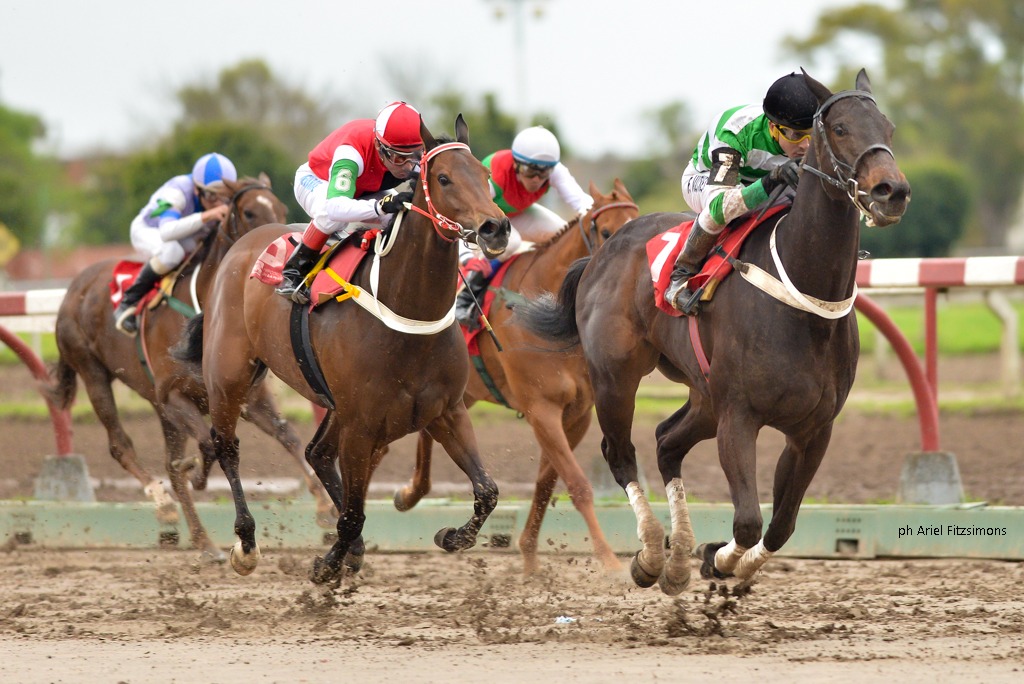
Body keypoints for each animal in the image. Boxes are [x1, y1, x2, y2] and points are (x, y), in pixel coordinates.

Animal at [44, 176, 336, 562]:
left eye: (281, 207)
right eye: (249, 212)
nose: (288, 242)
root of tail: (74, 287)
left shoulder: (246, 397)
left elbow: (287, 435)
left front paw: (324, 507)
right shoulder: (174, 397)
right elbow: (209, 448)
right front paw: (197, 475)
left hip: (160, 408)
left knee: (170, 464)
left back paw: (203, 540)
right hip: (94, 373)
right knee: (122, 445)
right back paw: (164, 503)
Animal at [173, 115, 512, 582]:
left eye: (484, 176)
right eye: (443, 178)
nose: (496, 228)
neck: (407, 314)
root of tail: (239, 246)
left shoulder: (445, 411)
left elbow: (487, 491)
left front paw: (450, 536)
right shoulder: (362, 425)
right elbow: (352, 514)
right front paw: (327, 564)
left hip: (336, 405)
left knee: (317, 453)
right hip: (229, 375)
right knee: (227, 446)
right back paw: (246, 544)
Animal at [394, 179, 639, 575]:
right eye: (606, 231)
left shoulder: (576, 415)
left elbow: (546, 484)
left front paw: (529, 558)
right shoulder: (542, 409)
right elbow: (578, 484)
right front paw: (609, 561)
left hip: (460, 393)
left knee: (427, 436)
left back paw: (409, 494)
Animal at [514, 69, 910, 594]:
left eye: (887, 128)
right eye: (842, 128)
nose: (892, 191)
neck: (804, 299)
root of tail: (602, 251)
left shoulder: (812, 430)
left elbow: (781, 525)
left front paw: (722, 564)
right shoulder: (739, 417)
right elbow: (747, 521)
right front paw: (718, 559)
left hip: (704, 397)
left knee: (666, 440)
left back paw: (678, 557)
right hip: (615, 378)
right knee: (620, 453)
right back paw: (650, 555)